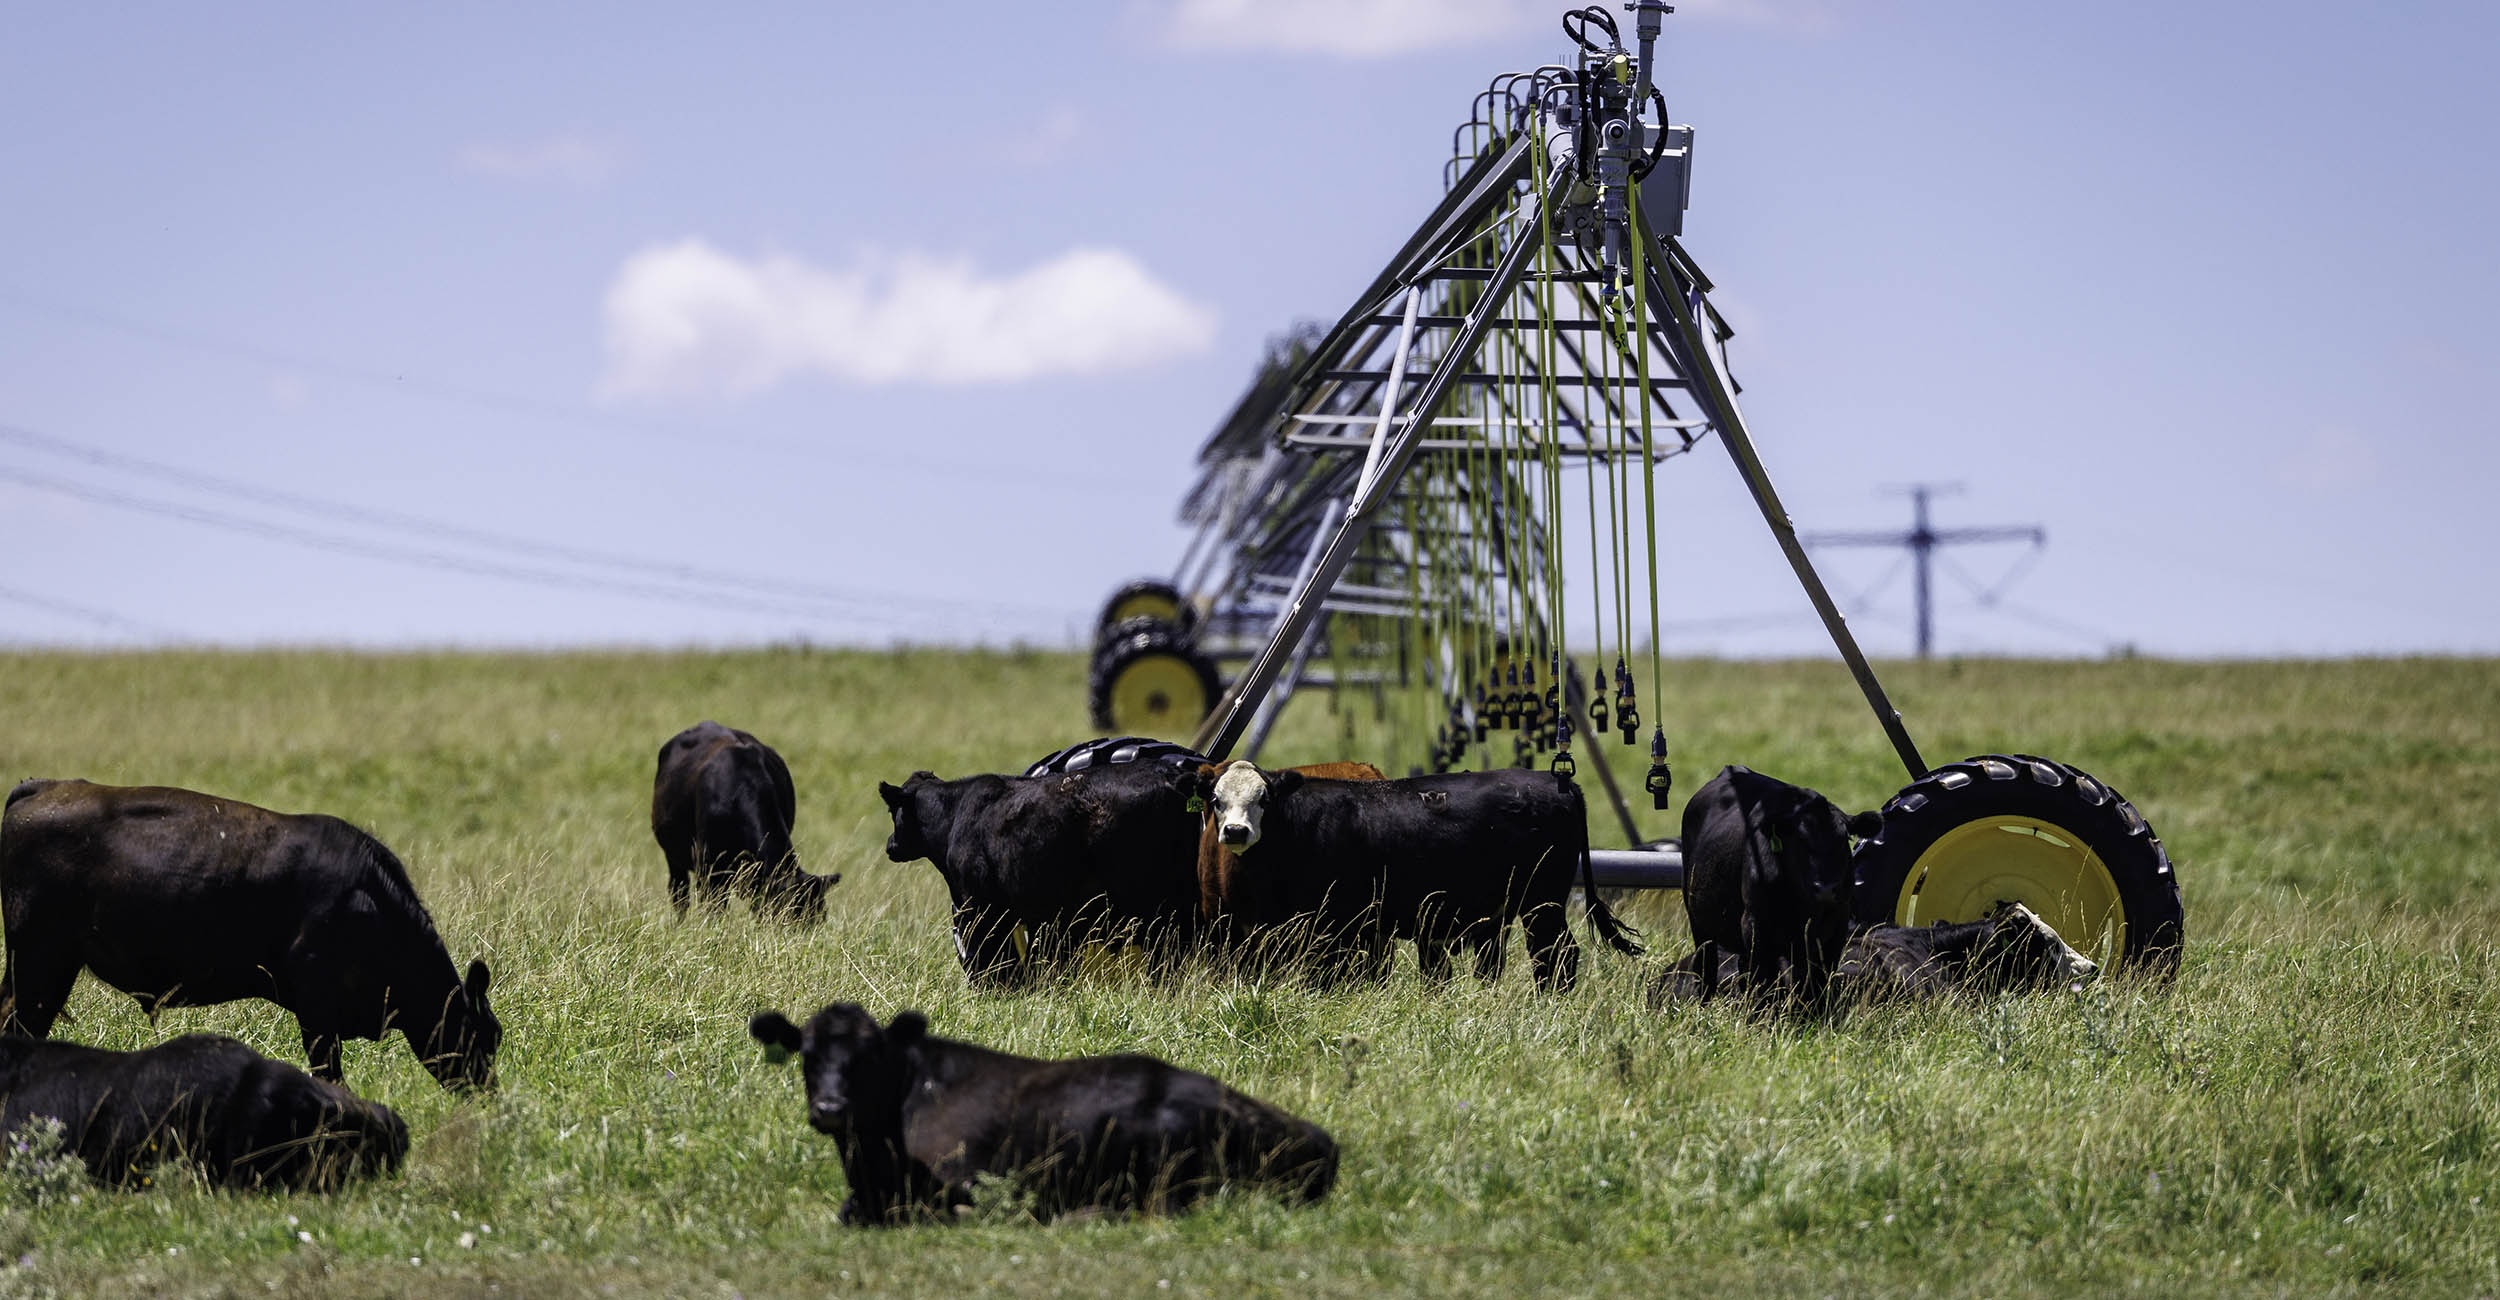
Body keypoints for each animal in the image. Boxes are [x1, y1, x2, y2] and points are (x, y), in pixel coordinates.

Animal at [0, 780, 500, 1092]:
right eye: (485, 1036)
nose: (489, 1096)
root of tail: (45, 786)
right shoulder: (317, 1011)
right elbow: (329, 1076)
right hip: (36, 963)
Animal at [651, 721, 834, 923]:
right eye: (788, 915)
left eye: (821, 917)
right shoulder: (709, 869)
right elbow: (713, 909)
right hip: (673, 857)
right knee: (679, 894)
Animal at [878, 762, 1201, 986]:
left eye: (893, 811)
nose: (890, 845)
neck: (955, 815)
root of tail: (1171, 776)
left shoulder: (979, 908)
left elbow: (990, 958)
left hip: (1151, 906)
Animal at [1191, 762, 1643, 990]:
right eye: (1216, 799)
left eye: (1263, 798)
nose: (1235, 831)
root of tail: (1558, 781)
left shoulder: (1336, 928)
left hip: (1541, 903)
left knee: (1557, 955)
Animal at [1679, 765, 1881, 1005]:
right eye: (1799, 841)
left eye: (1845, 840)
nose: (1825, 889)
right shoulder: (1755, 923)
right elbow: (1764, 979)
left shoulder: (1836, 925)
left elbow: (1818, 979)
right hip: (1698, 920)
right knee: (1706, 965)